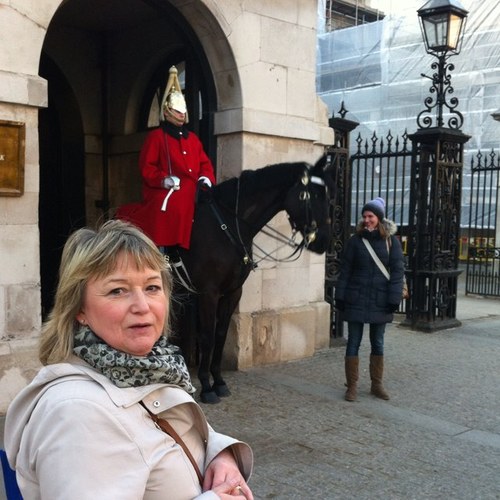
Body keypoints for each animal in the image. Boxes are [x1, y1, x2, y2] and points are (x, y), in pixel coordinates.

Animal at [170, 154, 338, 404]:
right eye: (310, 195)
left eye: (327, 196)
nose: (323, 242)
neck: (228, 225)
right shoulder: (208, 293)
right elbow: (208, 335)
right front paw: (207, 386)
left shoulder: (233, 291)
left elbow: (221, 333)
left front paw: (219, 381)